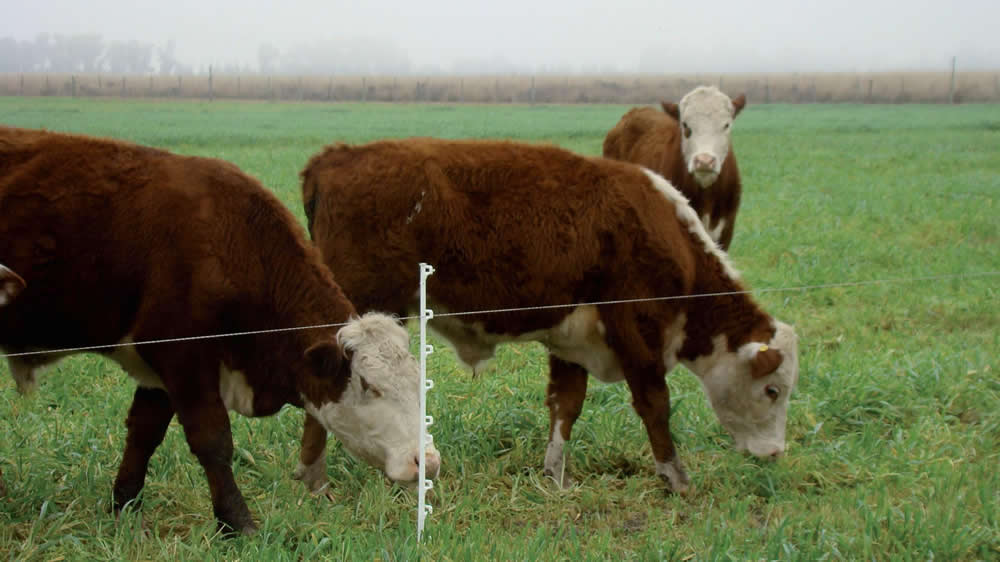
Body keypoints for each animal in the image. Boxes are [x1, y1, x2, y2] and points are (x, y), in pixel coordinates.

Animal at [0, 124, 442, 532]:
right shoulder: (183, 360)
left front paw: (123, 505)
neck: (225, 245)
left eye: (419, 382)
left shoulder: (160, 373)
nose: (428, 460)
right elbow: (212, 441)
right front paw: (236, 520)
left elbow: (143, 433)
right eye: (370, 386)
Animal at [294, 138, 796, 492]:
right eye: (772, 390)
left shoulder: (573, 340)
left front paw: (555, 475)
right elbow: (656, 405)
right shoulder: (636, 333)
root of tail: (334, 158)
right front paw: (675, 477)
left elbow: (565, 406)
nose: (776, 452)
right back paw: (314, 480)